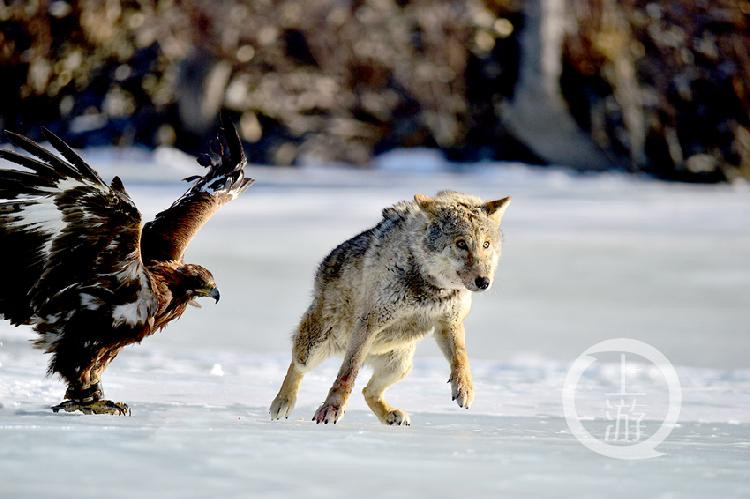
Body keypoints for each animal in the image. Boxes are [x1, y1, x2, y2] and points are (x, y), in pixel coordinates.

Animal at [270, 191, 512, 426]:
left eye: (486, 245)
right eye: (461, 243)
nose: (484, 282)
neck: (431, 286)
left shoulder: (449, 323)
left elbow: (461, 358)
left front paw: (464, 388)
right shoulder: (369, 323)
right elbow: (348, 373)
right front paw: (332, 408)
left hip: (400, 365)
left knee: (368, 391)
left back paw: (391, 415)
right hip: (315, 349)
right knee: (297, 366)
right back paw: (282, 403)